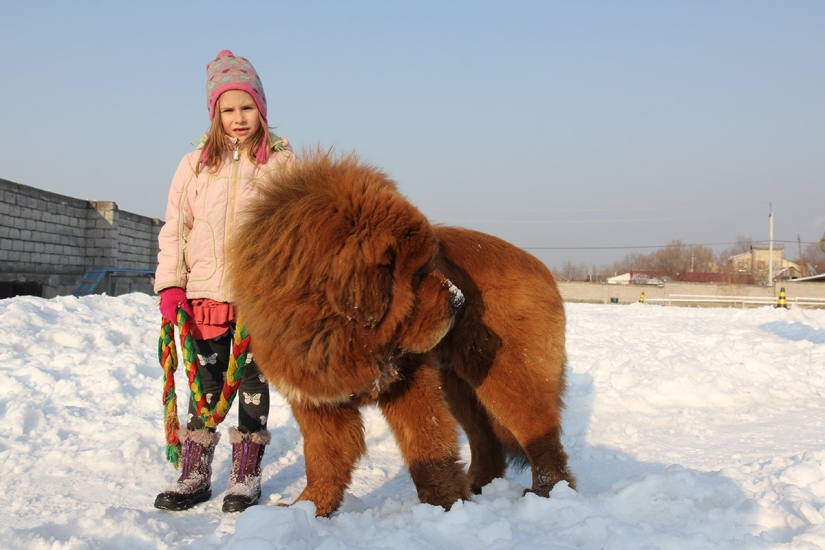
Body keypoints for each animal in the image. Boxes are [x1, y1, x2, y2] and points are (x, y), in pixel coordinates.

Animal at [228, 151, 575, 517]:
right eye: (420, 271)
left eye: (431, 263)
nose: (460, 300)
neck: (338, 336)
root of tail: (539, 265)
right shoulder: (318, 401)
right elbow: (323, 458)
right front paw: (309, 508)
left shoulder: (410, 380)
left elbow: (427, 445)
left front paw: (443, 507)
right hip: (461, 387)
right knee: (487, 442)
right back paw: (480, 486)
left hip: (508, 377)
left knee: (541, 437)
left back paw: (548, 493)